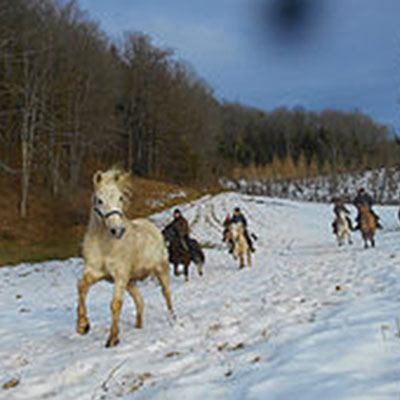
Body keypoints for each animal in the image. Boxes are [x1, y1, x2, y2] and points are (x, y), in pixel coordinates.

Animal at [76, 169, 173, 346]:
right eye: (99, 200)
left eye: (120, 198)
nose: (118, 230)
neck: (105, 245)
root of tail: (155, 229)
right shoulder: (94, 273)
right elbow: (81, 288)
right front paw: (82, 326)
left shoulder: (120, 277)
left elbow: (115, 304)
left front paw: (113, 339)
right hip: (131, 282)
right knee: (140, 301)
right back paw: (139, 326)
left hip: (161, 270)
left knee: (166, 294)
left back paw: (172, 318)